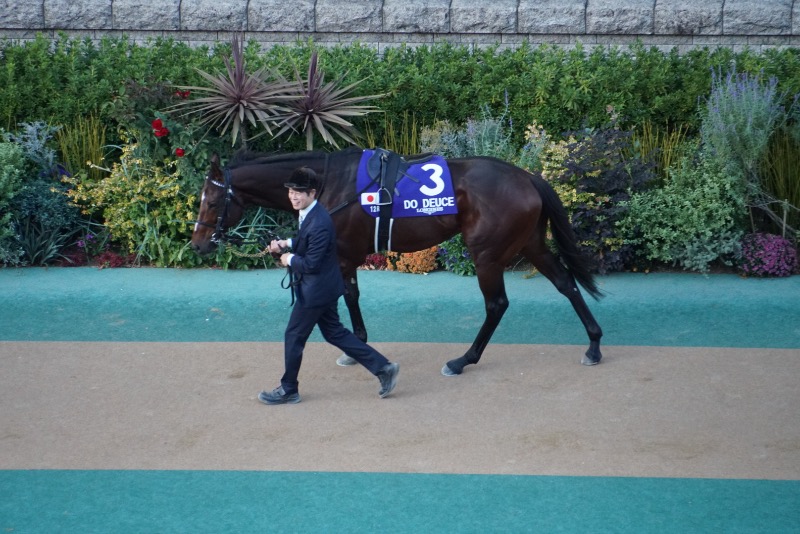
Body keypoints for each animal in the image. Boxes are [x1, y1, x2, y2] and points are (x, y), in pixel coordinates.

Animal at [189, 144, 600, 374]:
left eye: (212, 199)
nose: (197, 244)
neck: (330, 182)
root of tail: (528, 178)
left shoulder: (343, 255)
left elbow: (349, 297)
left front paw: (356, 347)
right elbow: (348, 296)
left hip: (486, 254)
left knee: (497, 304)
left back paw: (462, 360)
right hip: (531, 243)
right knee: (565, 283)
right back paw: (594, 345)